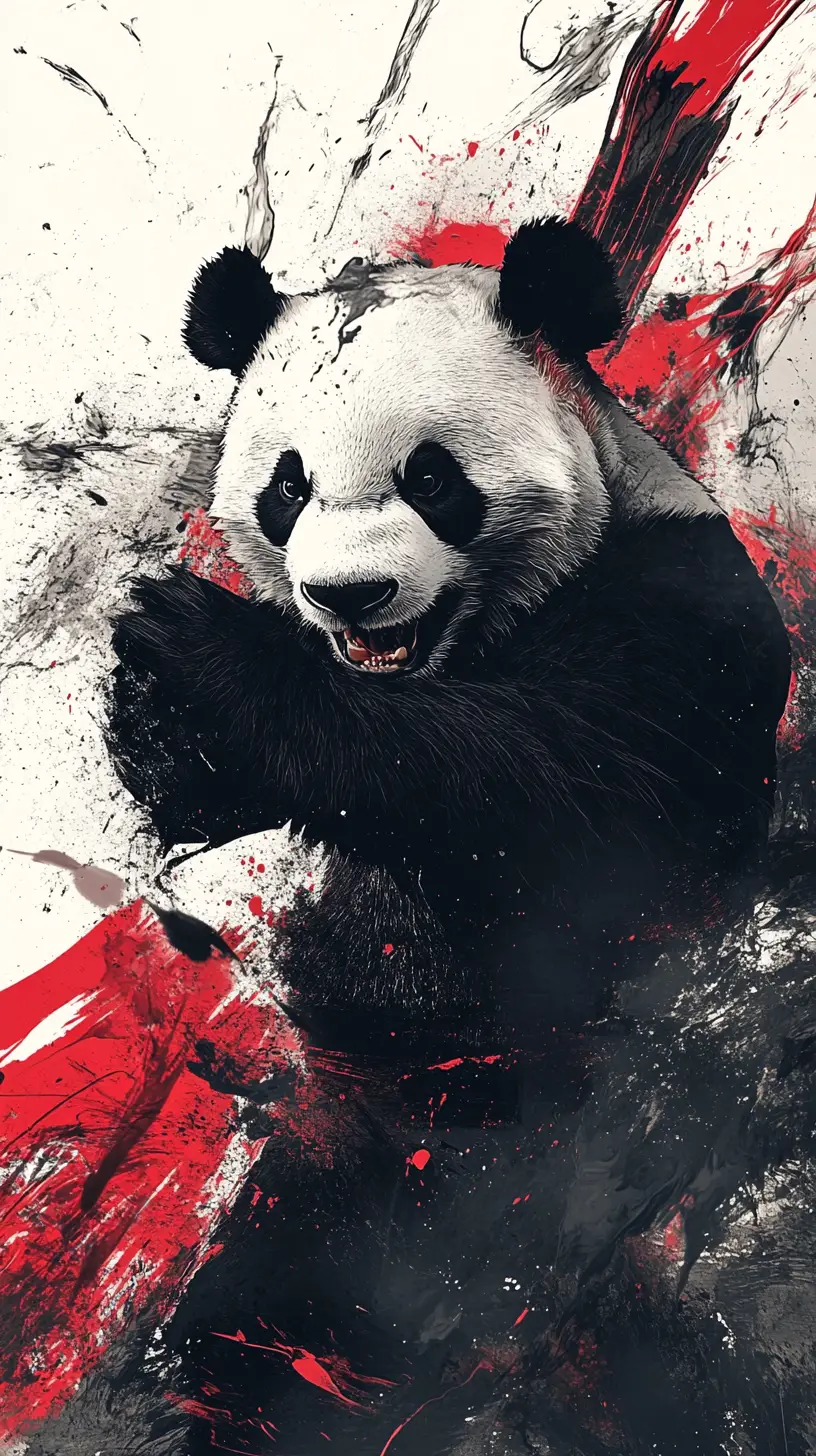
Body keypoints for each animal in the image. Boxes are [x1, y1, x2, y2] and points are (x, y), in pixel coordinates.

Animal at [97, 218, 799, 1456]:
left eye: (431, 479)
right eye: (288, 485)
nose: (350, 594)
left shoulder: (682, 618)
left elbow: (546, 794)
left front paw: (200, 652)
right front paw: (157, 721)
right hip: (341, 1150)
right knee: (274, 1301)